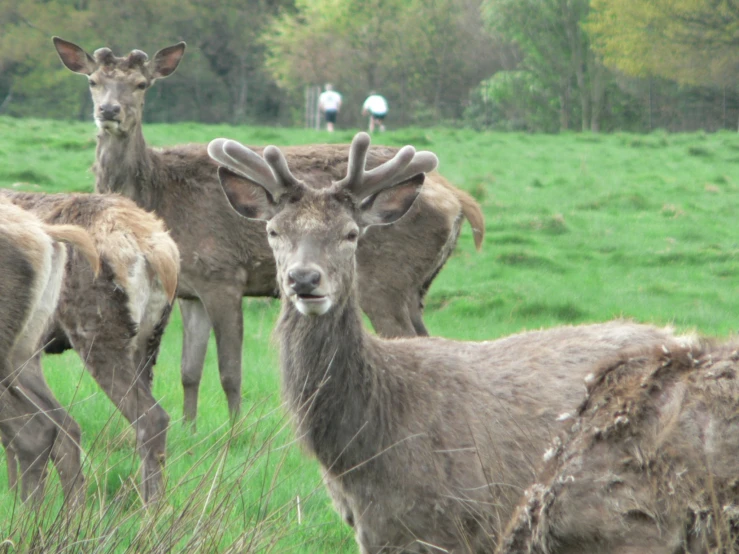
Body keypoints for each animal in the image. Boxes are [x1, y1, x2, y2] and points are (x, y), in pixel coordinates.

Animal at [52, 36, 488, 424]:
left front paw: (233, 431)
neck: (161, 196)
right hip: (416, 287)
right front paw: (190, 428)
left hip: (387, 281)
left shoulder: (223, 274)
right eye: (93, 81)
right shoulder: (191, 289)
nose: (109, 110)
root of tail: (457, 199)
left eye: (142, 84)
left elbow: (230, 371)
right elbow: (189, 372)